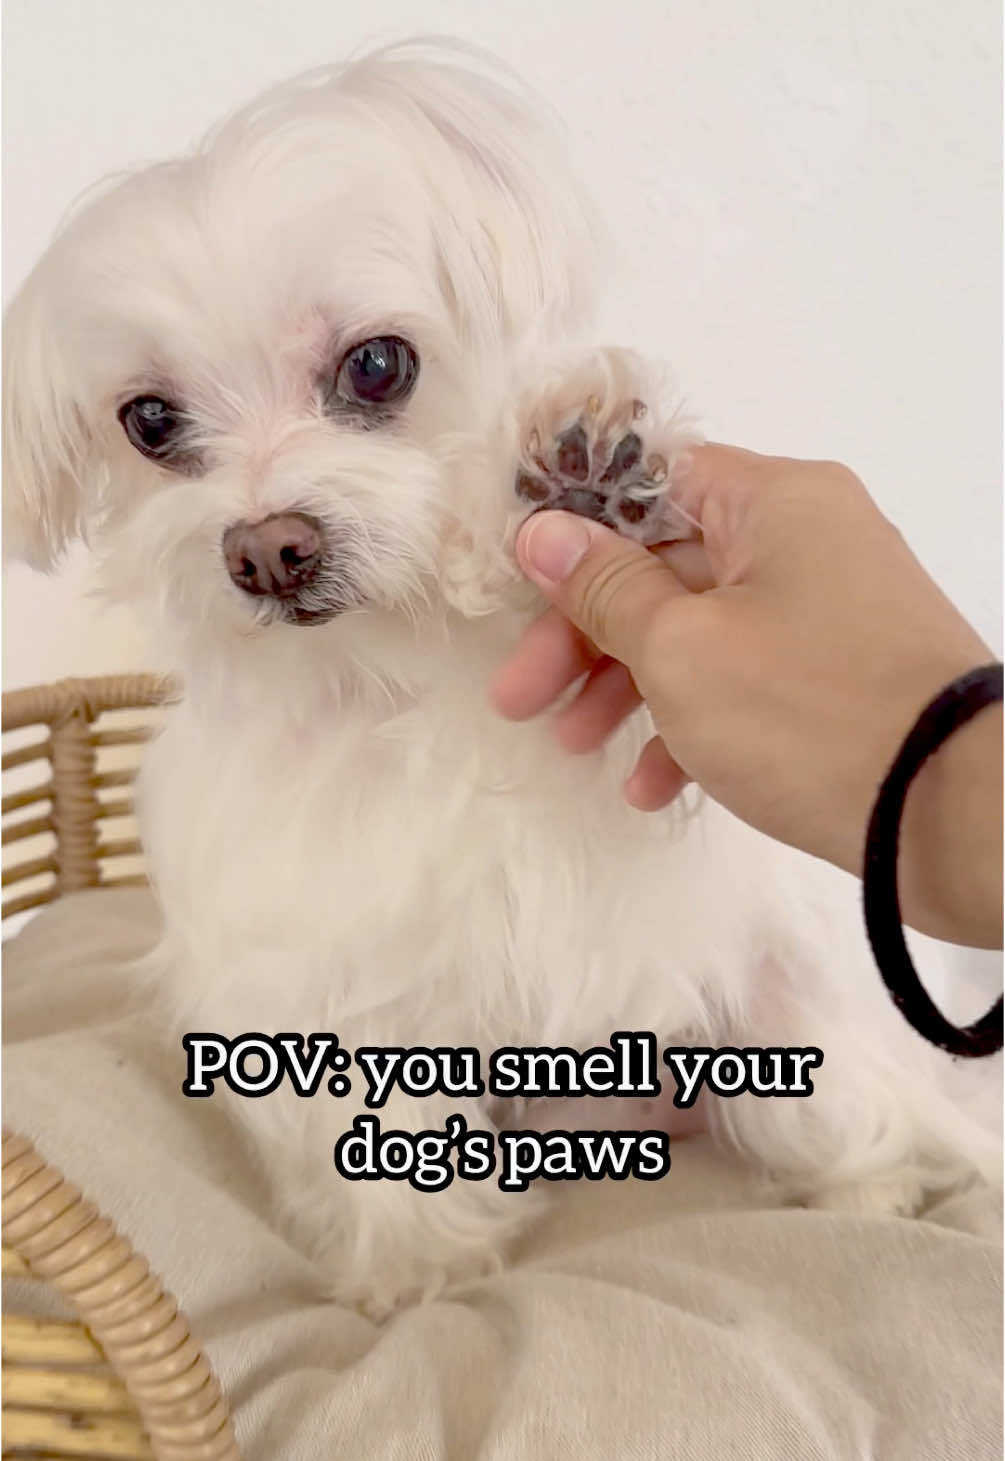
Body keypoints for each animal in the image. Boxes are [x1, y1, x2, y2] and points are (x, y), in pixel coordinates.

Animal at [3, 39, 999, 1314]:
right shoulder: (312, 978)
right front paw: (418, 1277)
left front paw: (577, 487)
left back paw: (872, 1195)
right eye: (148, 421)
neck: (391, 670)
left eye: (379, 366)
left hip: (804, 1032)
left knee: (858, 1118)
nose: (266, 549)